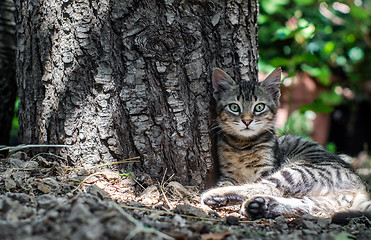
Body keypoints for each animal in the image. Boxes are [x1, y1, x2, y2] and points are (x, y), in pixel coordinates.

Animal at [203, 68, 371, 219]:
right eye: (234, 107)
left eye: (259, 107)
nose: (247, 121)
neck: (242, 145)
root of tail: (361, 185)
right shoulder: (227, 172)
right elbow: (226, 181)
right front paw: (223, 187)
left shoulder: (267, 168)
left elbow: (258, 183)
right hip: (325, 199)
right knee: (304, 205)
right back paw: (259, 205)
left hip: (299, 171)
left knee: (268, 187)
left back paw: (216, 195)